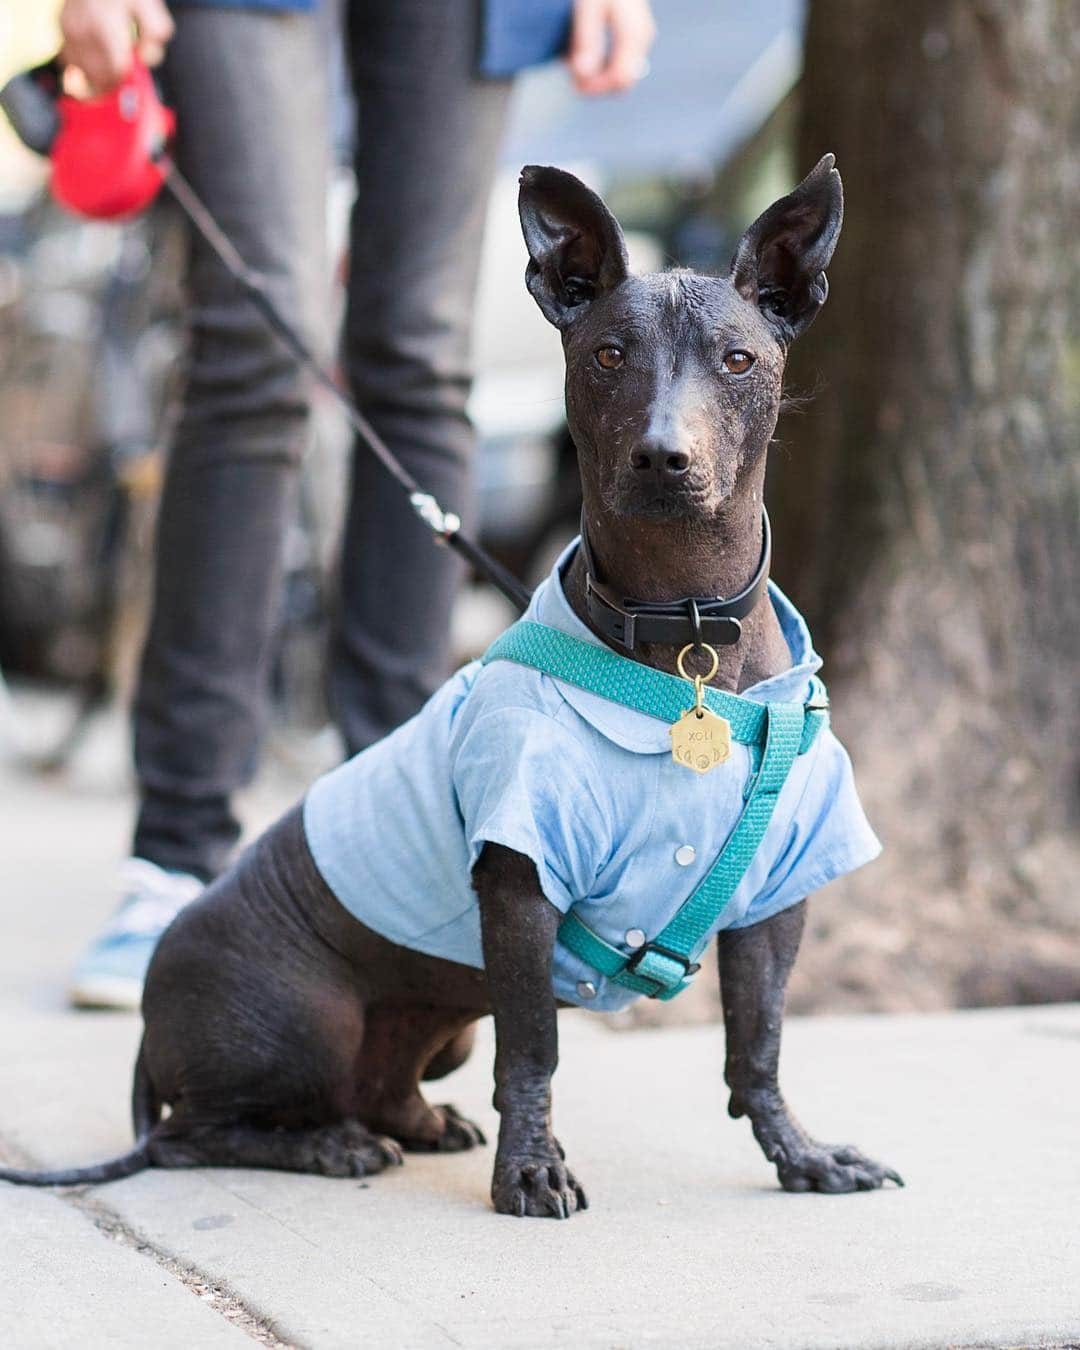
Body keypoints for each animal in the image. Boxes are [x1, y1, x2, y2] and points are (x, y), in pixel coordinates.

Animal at [0, 155, 901, 1215]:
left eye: (738, 360)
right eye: (607, 355)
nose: (663, 455)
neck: (686, 640)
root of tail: (146, 1039)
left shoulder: (775, 895)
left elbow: (757, 1046)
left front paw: (801, 1154)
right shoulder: (519, 890)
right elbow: (535, 1049)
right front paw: (531, 1169)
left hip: (432, 1036)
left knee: (375, 1091)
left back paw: (421, 1123)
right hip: (306, 1022)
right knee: (201, 1135)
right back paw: (330, 1147)